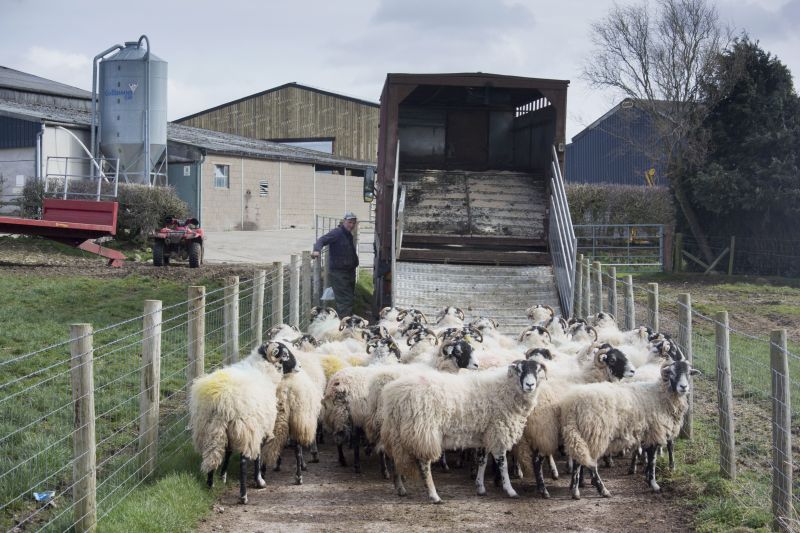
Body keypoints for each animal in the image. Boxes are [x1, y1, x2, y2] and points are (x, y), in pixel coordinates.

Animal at [189, 340, 298, 502]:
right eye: (285, 354)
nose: (299, 367)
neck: (264, 371)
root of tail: (220, 399)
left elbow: (228, 452)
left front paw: (223, 476)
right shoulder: (259, 427)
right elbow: (258, 454)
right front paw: (259, 480)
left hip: (210, 429)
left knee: (212, 455)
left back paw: (210, 485)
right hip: (246, 427)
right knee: (243, 460)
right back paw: (243, 495)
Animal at [380, 358, 544, 502]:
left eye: (537, 370)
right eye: (520, 370)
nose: (530, 385)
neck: (505, 389)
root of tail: (395, 396)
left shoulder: (484, 434)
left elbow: (482, 461)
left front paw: (480, 487)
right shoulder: (498, 432)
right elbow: (502, 464)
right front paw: (510, 490)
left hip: (397, 434)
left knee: (396, 459)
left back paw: (400, 488)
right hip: (424, 431)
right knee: (424, 464)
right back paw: (434, 496)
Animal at [560, 358, 696, 498]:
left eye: (688, 373)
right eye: (671, 373)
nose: (683, 387)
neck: (661, 394)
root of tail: (572, 405)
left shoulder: (647, 435)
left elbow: (647, 457)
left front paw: (647, 478)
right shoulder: (654, 433)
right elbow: (652, 460)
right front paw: (654, 484)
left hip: (582, 433)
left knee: (578, 459)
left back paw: (576, 489)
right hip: (594, 433)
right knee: (588, 464)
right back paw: (599, 490)